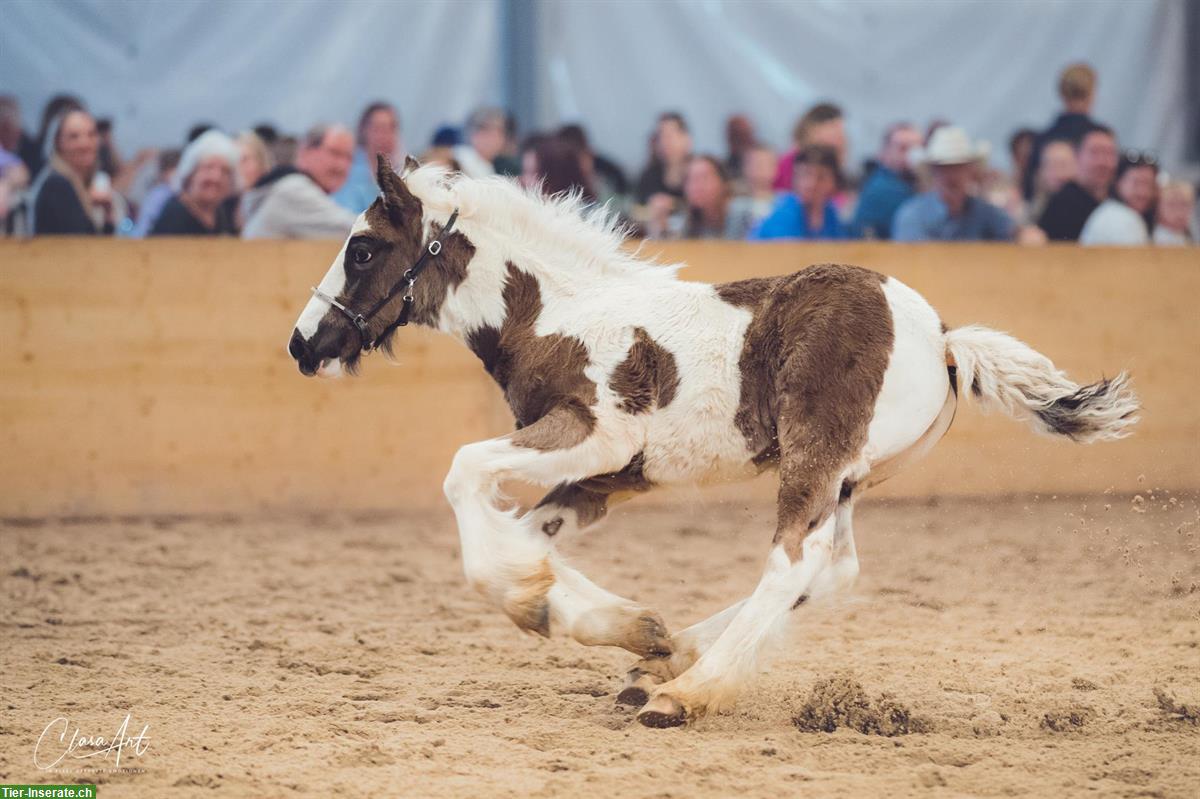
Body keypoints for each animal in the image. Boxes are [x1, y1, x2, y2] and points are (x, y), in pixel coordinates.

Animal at [285, 157, 1137, 729]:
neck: (553, 313)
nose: (302, 344)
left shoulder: (594, 437)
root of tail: (942, 336)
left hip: (815, 461)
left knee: (793, 560)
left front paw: (542, 607)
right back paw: (660, 663)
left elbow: (466, 479)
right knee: (834, 567)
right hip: (849, 479)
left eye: (362, 248)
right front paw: (620, 623)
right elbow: (528, 534)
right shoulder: (605, 478)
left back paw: (680, 692)